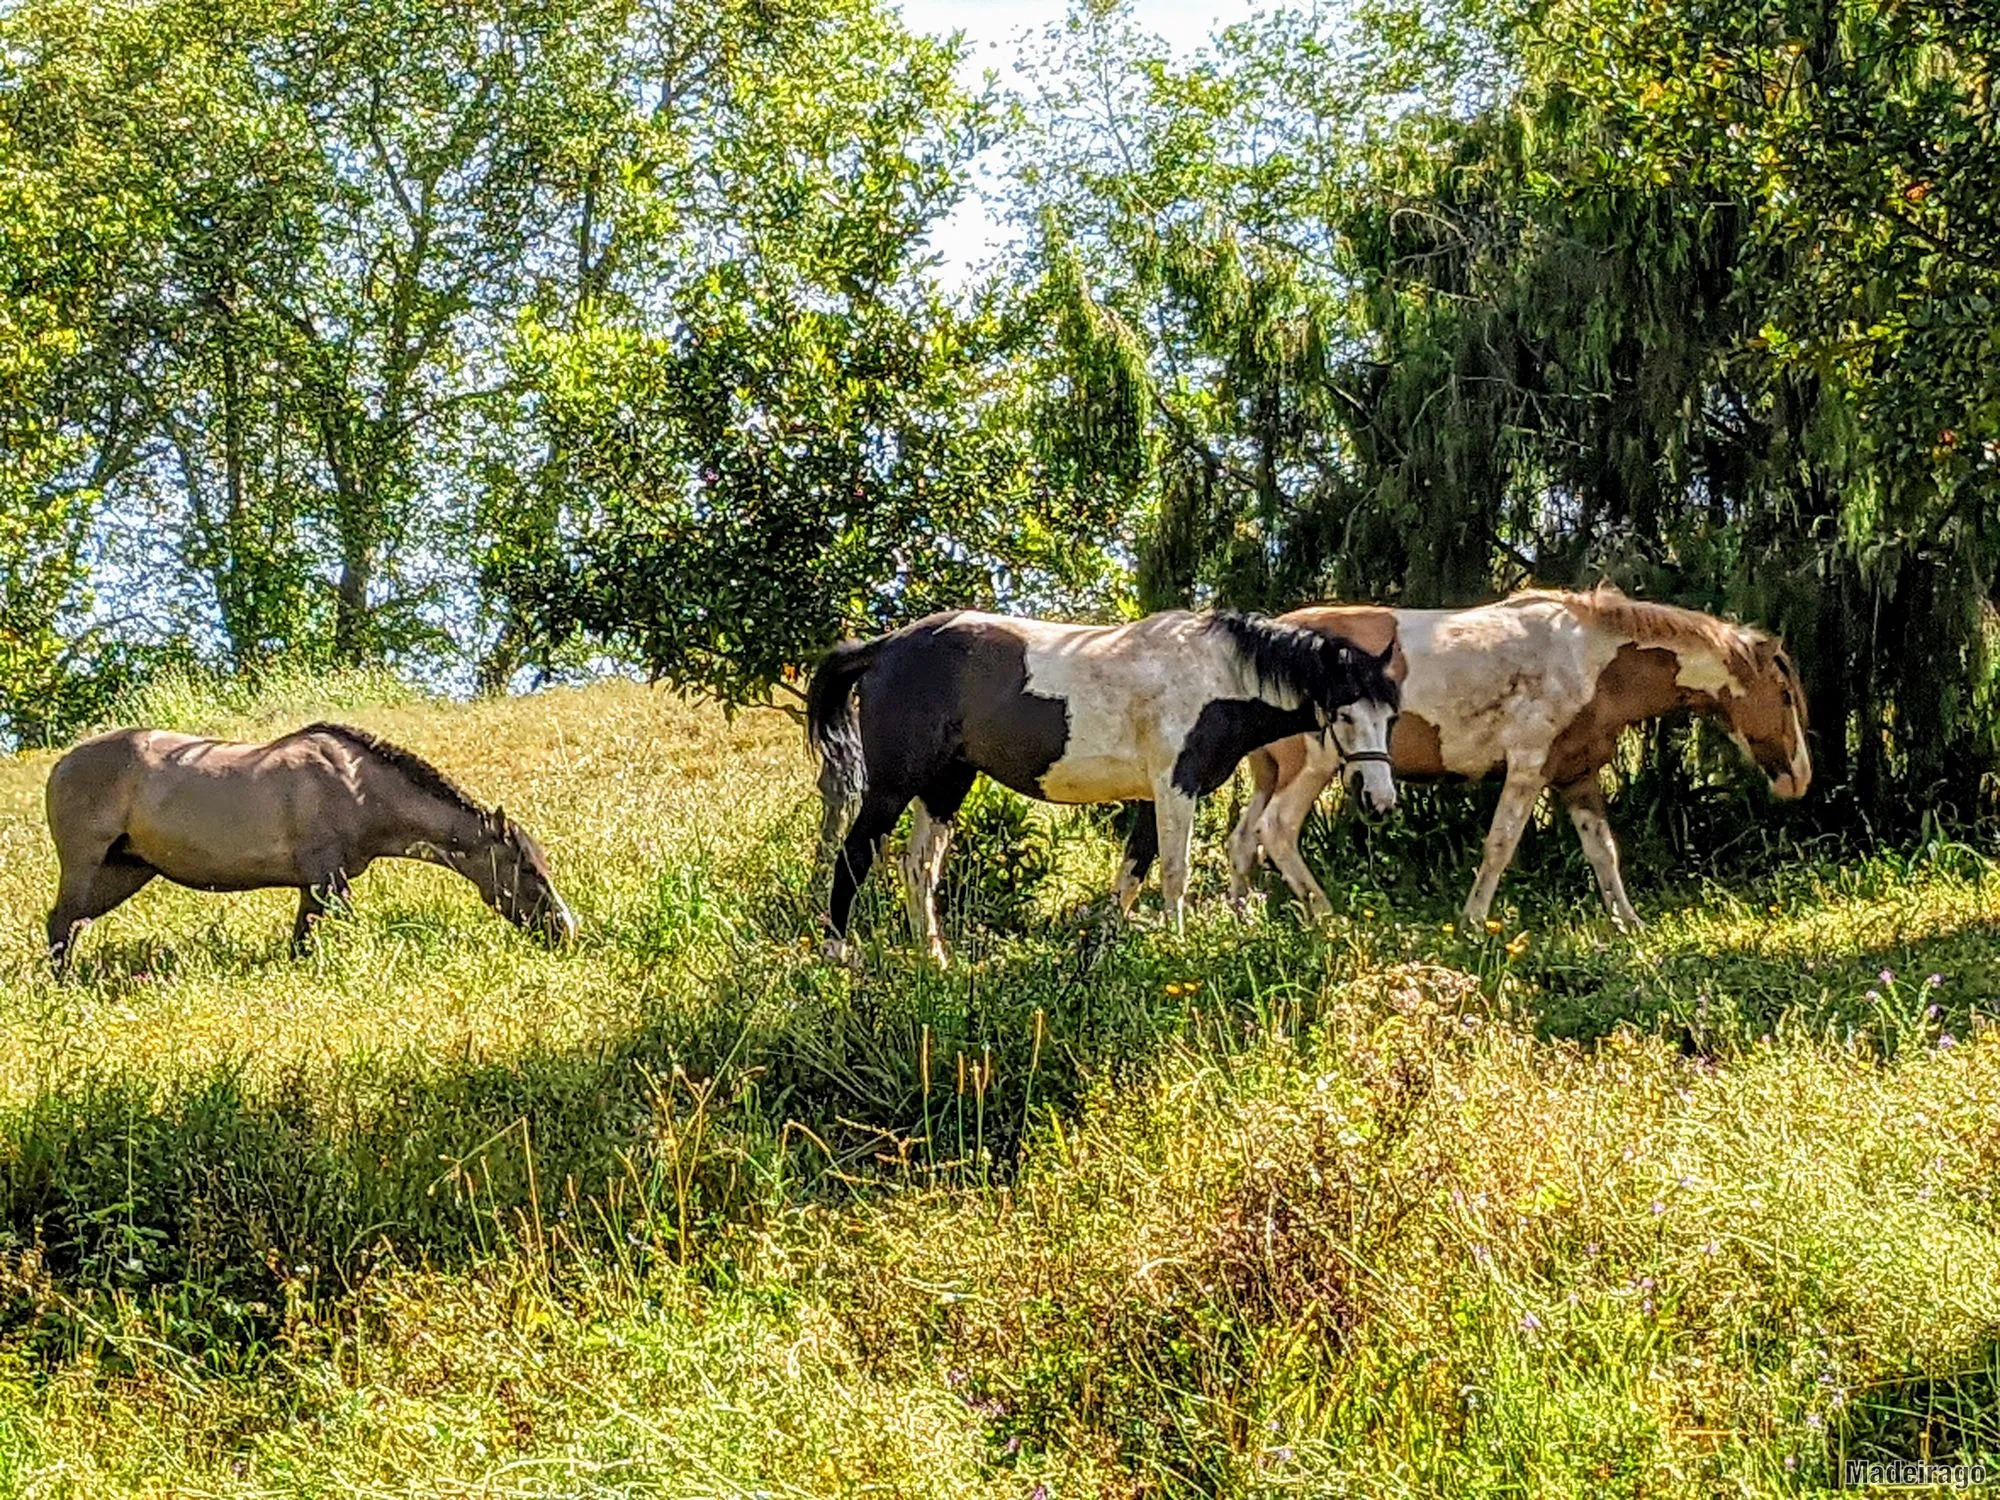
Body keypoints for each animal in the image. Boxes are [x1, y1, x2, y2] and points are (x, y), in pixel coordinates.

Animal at [45, 724, 580, 976]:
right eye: (529, 870)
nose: (565, 930)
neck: (359, 788)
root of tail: (62, 763)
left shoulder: (315, 886)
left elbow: (301, 944)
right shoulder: (328, 882)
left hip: (125, 870)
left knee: (73, 925)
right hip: (86, 864)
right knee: (60, 924)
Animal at [804, 608, 1400, 964]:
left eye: (1390, 717)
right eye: (1345, 715)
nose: (1379, 800)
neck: (1215, 678)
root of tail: (885, 647)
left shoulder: (1149, 800)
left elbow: (1130, 877)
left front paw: (1103, 955)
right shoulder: (1175, 788)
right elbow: (1174, 875)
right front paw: (1177, 950)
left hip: (946, 785)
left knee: (918, 867)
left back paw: (937, 961)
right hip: (893, 783)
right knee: (855, 854)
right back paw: (836, 954)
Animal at [1216, 592, 1816, 936]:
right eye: (1786, 694)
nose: (1800, 778)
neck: (1592, 658)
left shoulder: (1577, 774)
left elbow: (1604, 853)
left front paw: (1629, 923)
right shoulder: (1528, 768)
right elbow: (1499, 847)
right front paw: (1473, 923)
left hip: (1271, 773)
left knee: (1243, 840)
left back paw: (1240, 923)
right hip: (1311, 768)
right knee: (1277, 831)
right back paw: (1327, 918)